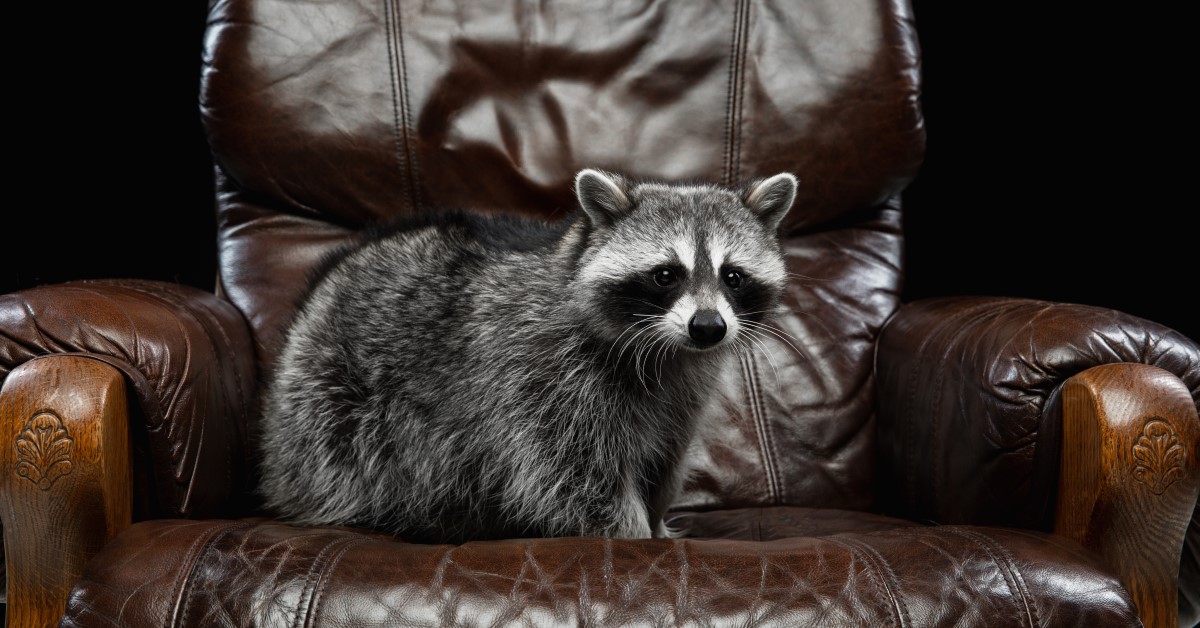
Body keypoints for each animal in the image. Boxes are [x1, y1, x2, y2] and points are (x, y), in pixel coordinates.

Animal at [259, 169, 798, 543]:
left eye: (733, 276)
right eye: (666, 275)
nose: (708, 327)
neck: (668, 350)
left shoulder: (685, 390)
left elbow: (664, 462)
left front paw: (658, 519)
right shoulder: (542, 374)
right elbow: (574, 477)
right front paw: (633, 533)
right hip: (329, 398)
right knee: (348, 455)